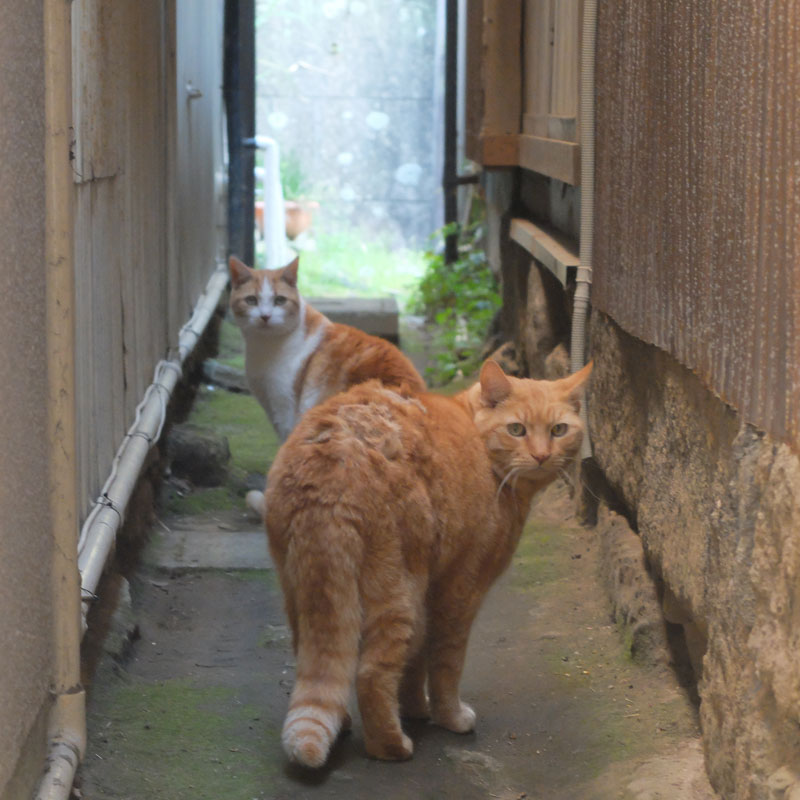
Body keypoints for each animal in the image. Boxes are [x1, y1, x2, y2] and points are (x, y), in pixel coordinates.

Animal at [266, 360, 592, 764]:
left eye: (558, 430)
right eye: (517, 429)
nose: (542, 455)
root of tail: (333, 461)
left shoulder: (431, 592)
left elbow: (415, 663)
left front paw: (415, 709)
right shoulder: (460, 590)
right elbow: (445, 665)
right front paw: (449, 716)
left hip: (301, 591)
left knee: (322, 663)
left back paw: (344, 723)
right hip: (397, 593)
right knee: (370, 674)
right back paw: (392, 746)